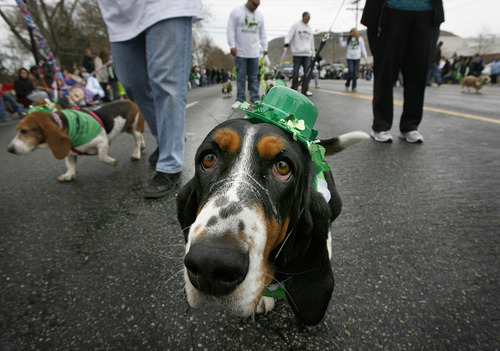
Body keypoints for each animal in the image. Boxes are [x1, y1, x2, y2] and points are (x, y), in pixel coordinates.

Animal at [7, 99, 146, 182]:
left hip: (134, 127)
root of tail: (128, 100)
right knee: (141, 137)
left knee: (137, 140)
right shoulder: (69, 152)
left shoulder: (102, 141)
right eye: (17, 130)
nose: (9, 149)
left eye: (24, 131)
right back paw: (143, 146)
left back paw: (136, 153)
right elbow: (70, 165)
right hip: (127, 128)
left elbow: (101, 156)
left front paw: (112, 162)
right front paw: (68, 175)